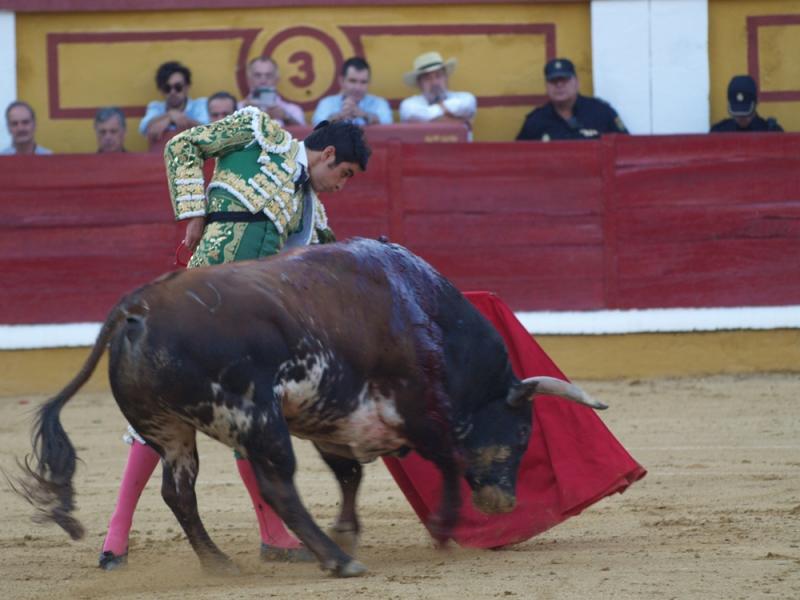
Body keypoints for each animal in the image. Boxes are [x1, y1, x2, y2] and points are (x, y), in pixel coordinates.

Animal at [17, 238, 608, 576]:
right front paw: (442, 529)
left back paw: (221, 564)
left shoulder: (333, 416)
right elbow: (446, 461)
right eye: (522, 431)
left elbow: (350, 475)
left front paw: (349, 526)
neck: (421, 310)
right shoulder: (418, 408)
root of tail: (135, 309)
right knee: (276, 485)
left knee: (177, 490)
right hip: (255, 415)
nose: (503, 504)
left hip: (170, 427)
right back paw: (338, 561)